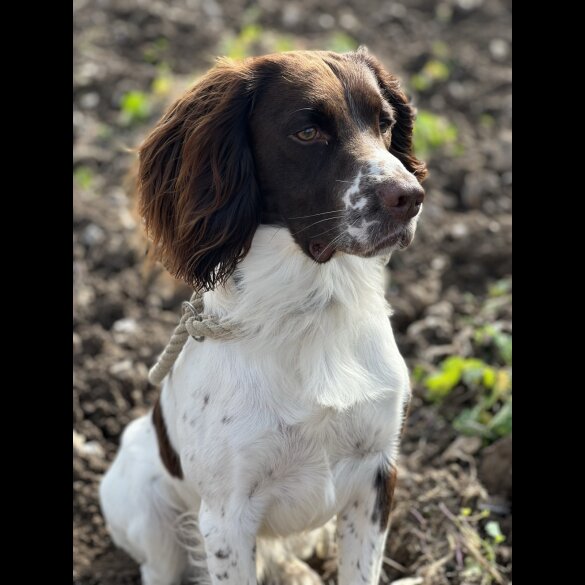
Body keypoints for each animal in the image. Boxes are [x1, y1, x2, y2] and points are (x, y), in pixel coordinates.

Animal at [99, 46, 424, 584]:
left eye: (385, 122)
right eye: (307, 132)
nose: (411, 197)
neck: (311, 314)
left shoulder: (378, 474)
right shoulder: (225, 517)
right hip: (145, 505)